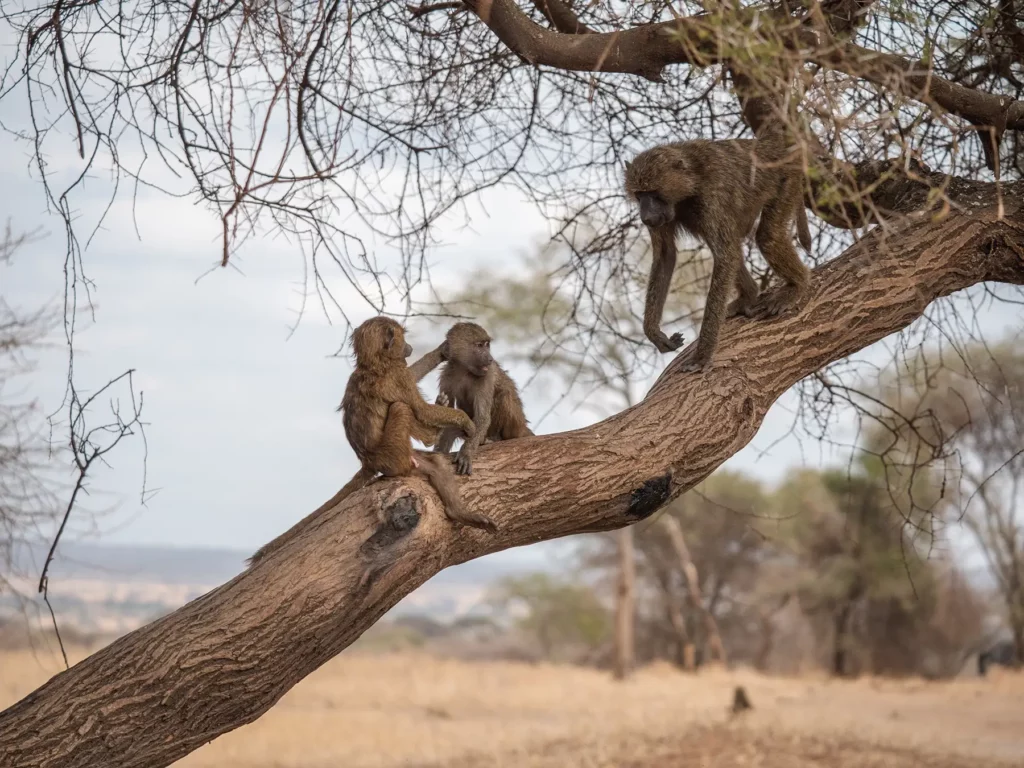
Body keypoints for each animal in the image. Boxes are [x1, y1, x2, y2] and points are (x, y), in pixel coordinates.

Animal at [247, 316, 496, 567]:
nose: (409, 347)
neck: (373, 363)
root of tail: (369, 462)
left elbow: (414, 376)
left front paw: (442, 351)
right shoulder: (398, 375)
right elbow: (420, 409)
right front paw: (468, 423)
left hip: (406, 458)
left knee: (435, 465)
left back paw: (457, 511)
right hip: (396, 457)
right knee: (402, 408)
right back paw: (433, 433)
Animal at [409, 322, 533, 475]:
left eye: (487, 345)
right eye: (479, 345)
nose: (490, 359)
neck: (464, 370)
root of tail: (522, 426)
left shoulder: (487, 376)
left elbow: (482, 417)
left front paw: (466, 453)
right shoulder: (446, 377)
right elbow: (449, 414)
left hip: (514, 426)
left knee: (503, 395)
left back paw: (491, 439)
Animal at [624, 130, 812, 373]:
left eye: (654, 194)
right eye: (640, 195)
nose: (646, 217)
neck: (690, 181)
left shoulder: (712, 195)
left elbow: (725, 256)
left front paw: (702, 356)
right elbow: (666, 256)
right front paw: (654, 333)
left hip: (786, 179)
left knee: (766, 237)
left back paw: (797, 285)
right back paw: (749, 294)